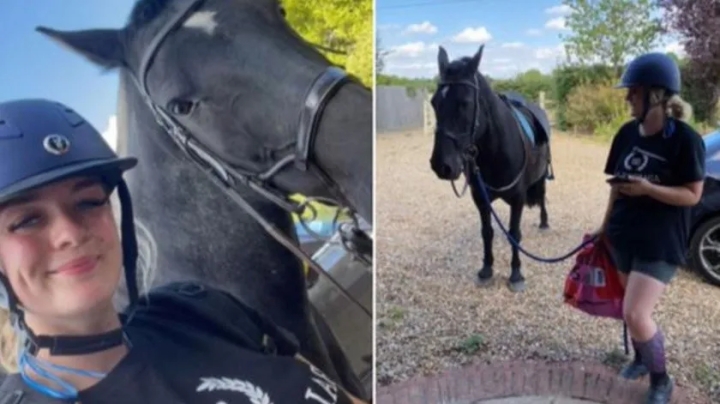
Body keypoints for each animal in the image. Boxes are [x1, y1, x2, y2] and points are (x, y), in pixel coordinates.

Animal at [430, 45, 556, 294]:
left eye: (465, 103)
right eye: (433, 103)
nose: (442, 165)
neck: (496, 151)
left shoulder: (518, 198)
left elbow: (514, 234)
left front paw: (516, 275)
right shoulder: (481, 198)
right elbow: (486, 232)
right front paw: (486, 270)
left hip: (542, 176)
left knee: (543, 195)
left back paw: (544, 222)